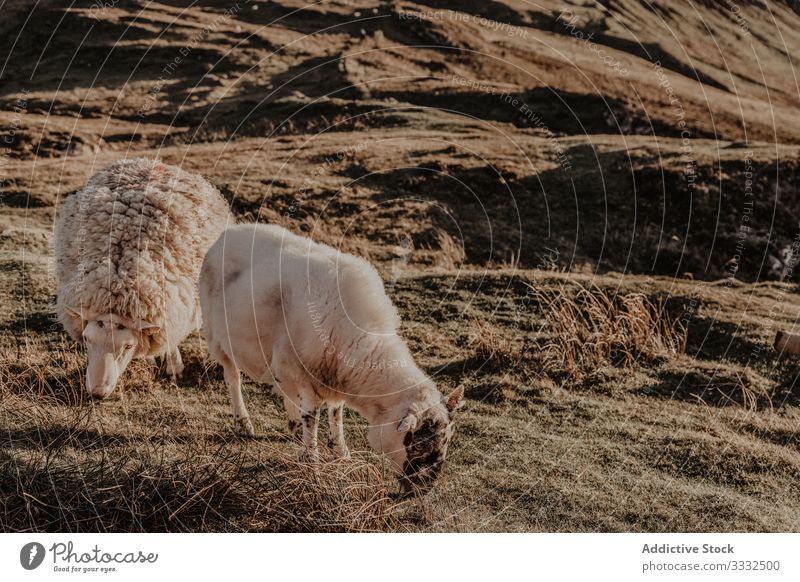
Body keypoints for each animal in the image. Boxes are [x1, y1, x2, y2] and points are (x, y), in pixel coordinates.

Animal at [53, 157, 231, 400]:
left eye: (128, 347)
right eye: (87, 339)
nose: (97, 393)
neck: (119, 277)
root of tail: (150, 162)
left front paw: (174, 367)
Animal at [197, 224, 466, 498]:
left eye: (446, 440)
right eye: (417, 443)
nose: (424, 490)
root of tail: (228, 232)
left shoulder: (333, 375)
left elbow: (336, 412)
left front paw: (340, 450)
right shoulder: (305, 376)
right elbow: (312, 418)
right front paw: (312, 464)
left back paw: (292, 424)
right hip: (216, 335)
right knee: (232, 377)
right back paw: (243, 423)